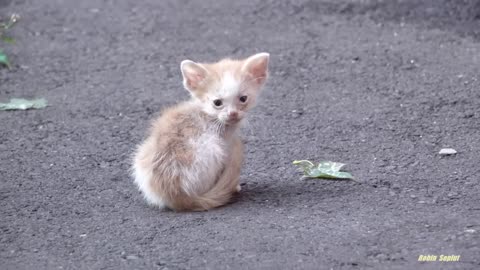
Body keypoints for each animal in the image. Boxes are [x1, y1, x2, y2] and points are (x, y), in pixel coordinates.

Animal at [132, 51, 270, 210]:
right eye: (217, 103)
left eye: (243, 99)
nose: (233, 114)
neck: (210, 116)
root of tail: (175, 195)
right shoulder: (225, 146)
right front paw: (234, 186)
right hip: (212, 150)